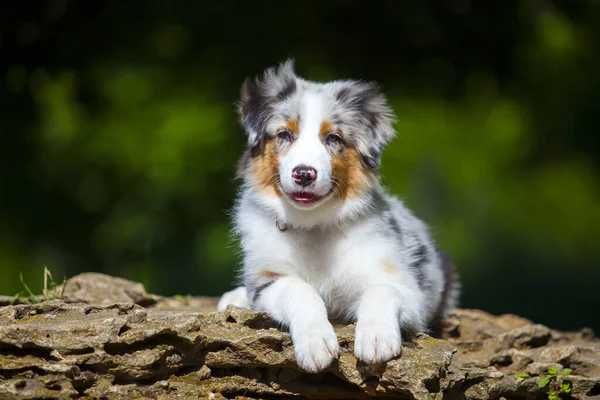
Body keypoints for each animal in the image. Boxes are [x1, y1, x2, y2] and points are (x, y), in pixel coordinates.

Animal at [220, 61, 460, 374]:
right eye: (285, 135)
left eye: (333, 138)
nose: (304, 173)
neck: (314, 226)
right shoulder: (266, 283)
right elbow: (298, 289)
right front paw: (315, 343)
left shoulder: (408, 290)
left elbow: (381, 290)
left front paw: (377, 337)